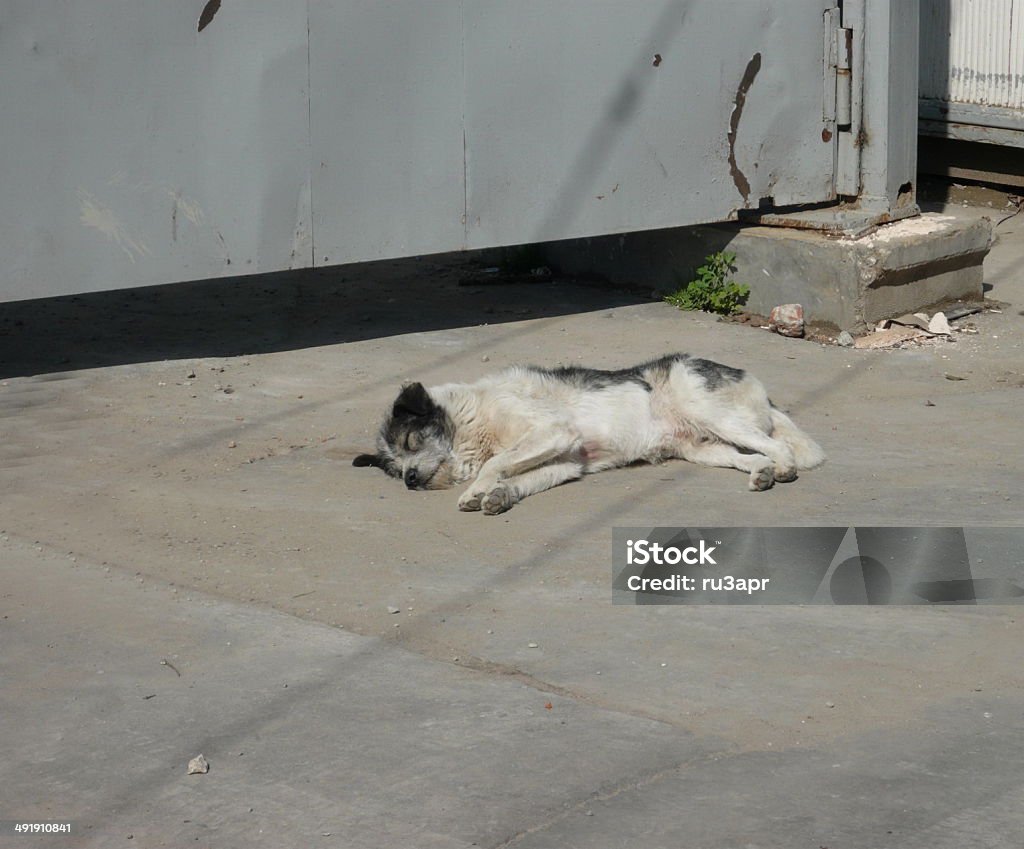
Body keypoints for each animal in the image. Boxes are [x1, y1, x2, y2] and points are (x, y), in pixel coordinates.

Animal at [352, 352, 823, 514]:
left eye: (411, 441)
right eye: (393, 470)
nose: (410, 480)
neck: (473, 421)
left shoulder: (553, 433)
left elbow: (496, 463)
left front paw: (479, 490)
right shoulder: (566, 462)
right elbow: (518, 476)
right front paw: (500, 496)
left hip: (709, 411)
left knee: (778, 446)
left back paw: (784, 469)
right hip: (702, 448)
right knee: (753, 455)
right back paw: (762, 475)